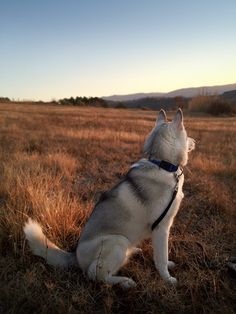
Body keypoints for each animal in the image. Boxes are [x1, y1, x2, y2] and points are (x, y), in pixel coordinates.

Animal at [23, 109, 195, 288]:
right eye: (186, 134)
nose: (194, 142)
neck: (162, 164)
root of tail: (75, 256)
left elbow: (162, 256)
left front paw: (168, 267)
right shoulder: (161, 228)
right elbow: (161, 257)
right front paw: (167, 279)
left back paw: (134, 252)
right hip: (117, 241)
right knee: (97, 275)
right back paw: (124, 281)